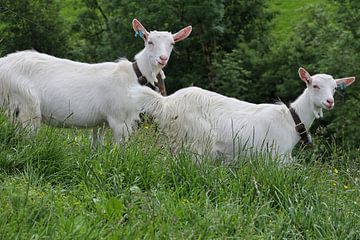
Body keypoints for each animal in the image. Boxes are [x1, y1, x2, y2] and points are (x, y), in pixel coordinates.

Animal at [0, 18, 191, 144]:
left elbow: (97, 146)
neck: (134, 76)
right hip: (25, 102)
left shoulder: (101, 122)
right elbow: (120, 148)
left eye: (172, 43)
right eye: (149, 41)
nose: (162, 59)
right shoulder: (119, 119)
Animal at [132, 67, 354, 163]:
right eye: (314, 85)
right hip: (194, 141)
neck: (290, 120)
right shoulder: (276, 158)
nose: (329, 101)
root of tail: (165, 103)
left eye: (335, 88)